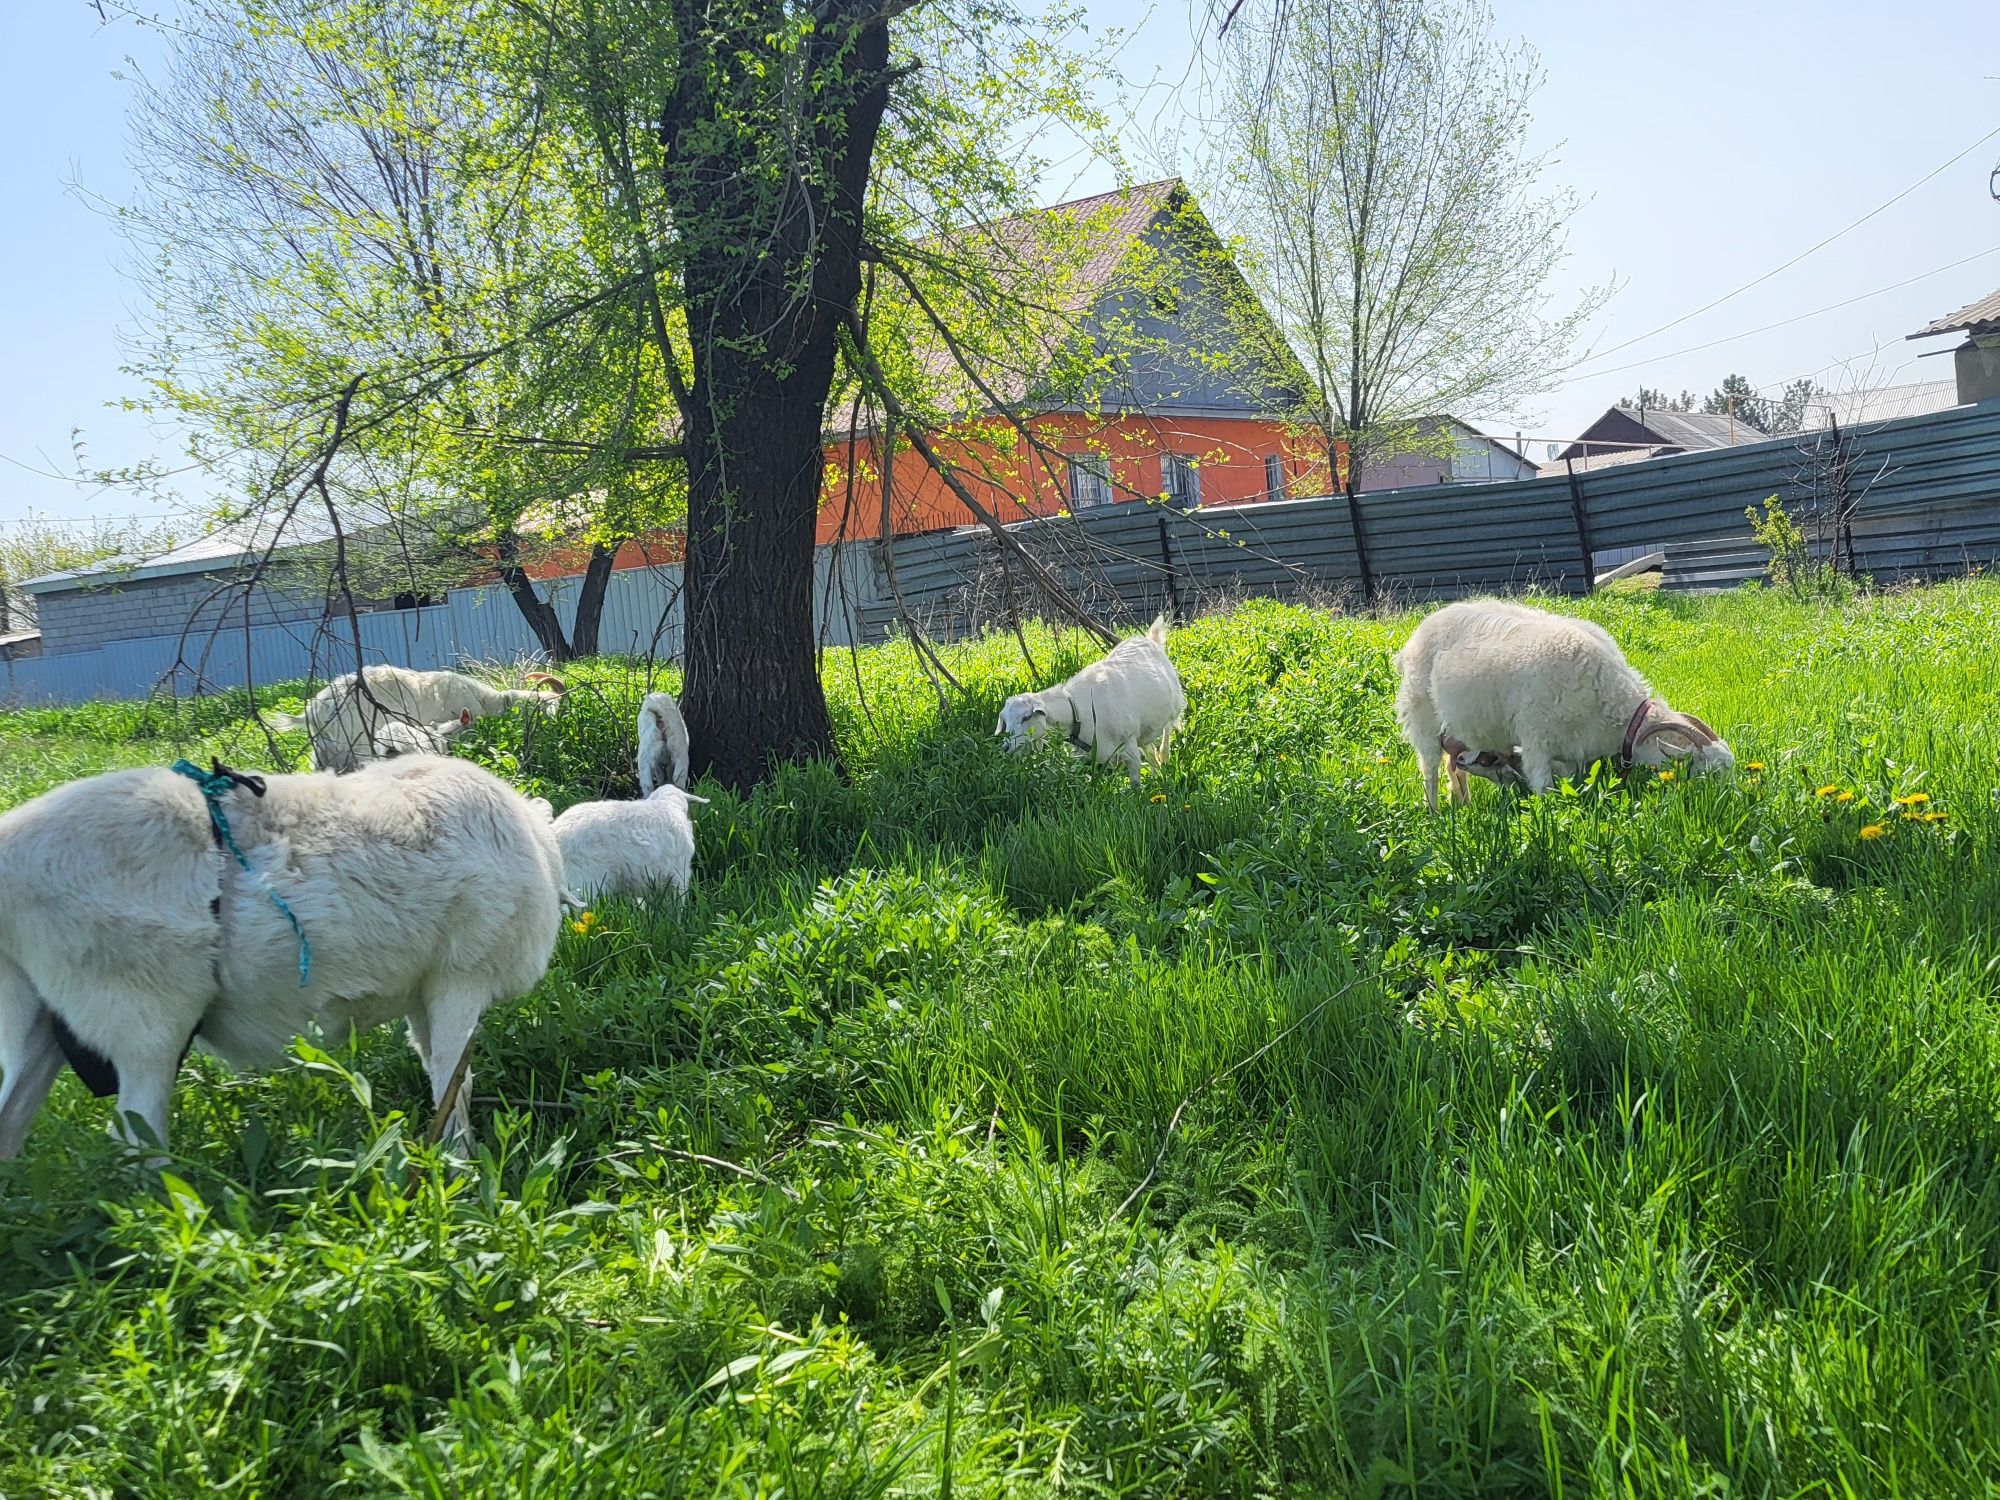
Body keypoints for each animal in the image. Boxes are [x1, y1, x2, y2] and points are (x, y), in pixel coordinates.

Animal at [1, 764, 564, 1160]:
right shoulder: (460, 977)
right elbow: (454, 1080)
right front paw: (458, 1167)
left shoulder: (422, 989)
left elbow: (436, 1069)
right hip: (144, 1018)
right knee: (138, 1142)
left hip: (37, 1021)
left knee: (11, 1120)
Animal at [1000, 616, 1184, 792]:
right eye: (1005, 721)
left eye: (1026, 717)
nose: (1006, 748)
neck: (1079, 711)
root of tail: (1150, 639)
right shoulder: (1083, 753)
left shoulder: (1129, 746)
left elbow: (1135, 784)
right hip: (1146, 727)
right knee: (1150, 749)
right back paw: (1157, 774)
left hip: (1174, 704)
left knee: (1168, 728)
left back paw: (1165, 756)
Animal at [1392, 600, 1736, 812]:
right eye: (1711, 773)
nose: (1735, 801)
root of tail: (1416, 635)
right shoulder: (1535, 740)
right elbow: (1544, 790)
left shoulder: (1574, 754)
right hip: (1422, 715)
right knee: (1430, 770)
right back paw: (1436, 813)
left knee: (1455, 767)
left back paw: (1463, 806)